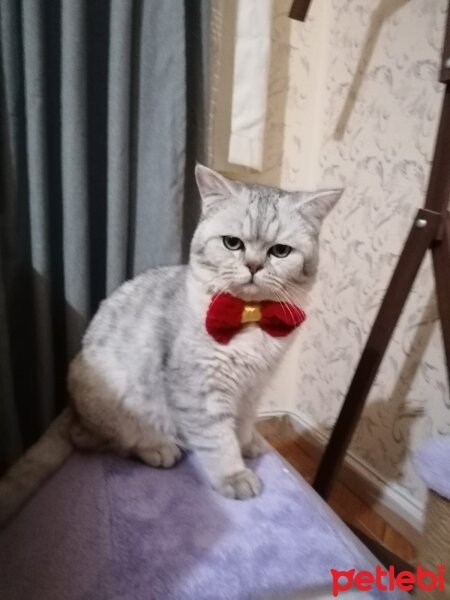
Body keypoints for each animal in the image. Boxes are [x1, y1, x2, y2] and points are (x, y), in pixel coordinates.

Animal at [0, 163, 340, 520]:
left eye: (280, 251)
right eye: (233, 243)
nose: (254, 266)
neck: (249, 317)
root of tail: (71, 410)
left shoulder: (253, 388)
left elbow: (243, 424)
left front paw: (247, 443)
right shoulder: (200, 389)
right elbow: (219, 439)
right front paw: (233, 474)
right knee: (98, 440)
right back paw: (156, 447)